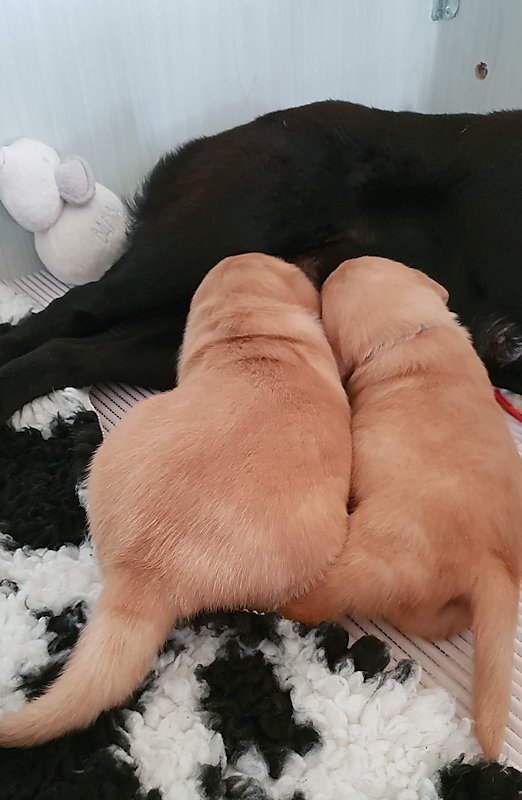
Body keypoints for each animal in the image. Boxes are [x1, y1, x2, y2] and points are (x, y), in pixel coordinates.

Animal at [2, 100, 522, 423]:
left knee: (73, 351)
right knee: (79, 304)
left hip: (198, 328)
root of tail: (203, 144)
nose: (508, 338)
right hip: (197, 244)